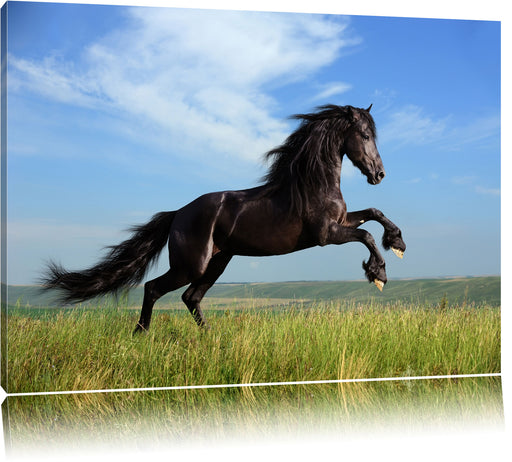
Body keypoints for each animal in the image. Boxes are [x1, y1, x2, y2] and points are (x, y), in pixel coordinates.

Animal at [43, 104, 404, 332]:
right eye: (365, 135)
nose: (379, 174)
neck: (313, 183)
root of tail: (178, 214)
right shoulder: (325, 235)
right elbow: (366, 235)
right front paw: (378, 274)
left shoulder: (341, 222)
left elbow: (374, 214)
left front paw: (397, 242)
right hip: (191, 265)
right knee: (154, 288)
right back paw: (141, 334)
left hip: (218, 262)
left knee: (191, 298)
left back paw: (210, 337)